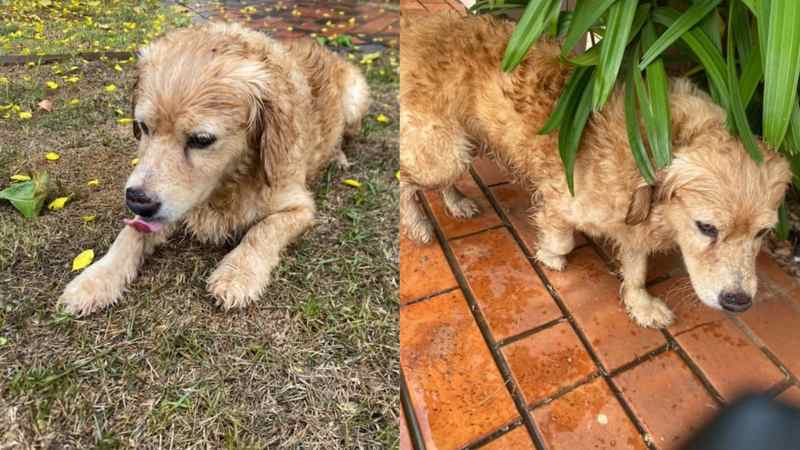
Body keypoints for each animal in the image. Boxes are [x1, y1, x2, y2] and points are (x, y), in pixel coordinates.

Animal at [60, 22, 372, 316]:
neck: (231, 181)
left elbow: (262, 231)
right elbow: (129, 233)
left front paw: (238, 274)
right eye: (144, 127)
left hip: (355, 100)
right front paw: (96, 278)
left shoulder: (300, 207)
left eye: (201, 140)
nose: (137, 201)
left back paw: (338, 156)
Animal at [404, 13, 792, 326]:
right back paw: (418, 223)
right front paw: (550, 256)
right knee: (405, 180)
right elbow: (562, 239)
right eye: (706, 227)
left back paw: (456, 202)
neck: (652, 145)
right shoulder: (562, 198)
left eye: (763, 233)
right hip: (445, 154)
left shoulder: (633, 225)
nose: (739, 302)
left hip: (459, 147)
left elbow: (636, 269)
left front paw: (640, 303)